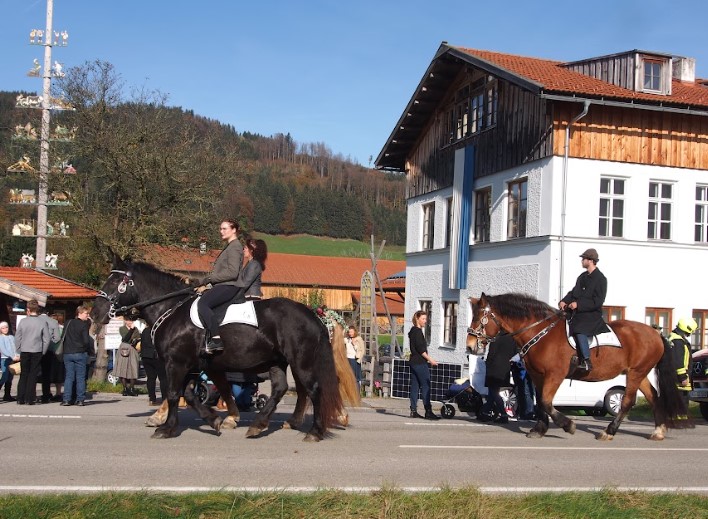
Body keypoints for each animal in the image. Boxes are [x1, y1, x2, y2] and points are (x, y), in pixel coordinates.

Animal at [91, 258, 356, 440]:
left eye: (114, 281)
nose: (95, 313)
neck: (170, 310)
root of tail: (312, 314)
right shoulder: (193, 366)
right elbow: (190, 394)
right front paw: (214, 420)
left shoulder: (176, 363)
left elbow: (174, 393)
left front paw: (166, 427)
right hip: (278, 361)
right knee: (283, 389)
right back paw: (259, 425)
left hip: (301, 361)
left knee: (313, 389)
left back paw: (315, 431)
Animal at [464, 294, 692, 440]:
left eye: (480, 319)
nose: (470, 346)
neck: (541, 332)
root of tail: (656, 333)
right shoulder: (537, 375)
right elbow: (540, 403)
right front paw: (539, 429)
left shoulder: (555, 374)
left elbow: (546, 401)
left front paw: (568, 425)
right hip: (639, 373)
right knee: (653, 396)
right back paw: (658, 431)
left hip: (636, 373)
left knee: (628, 401)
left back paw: (609, 431)